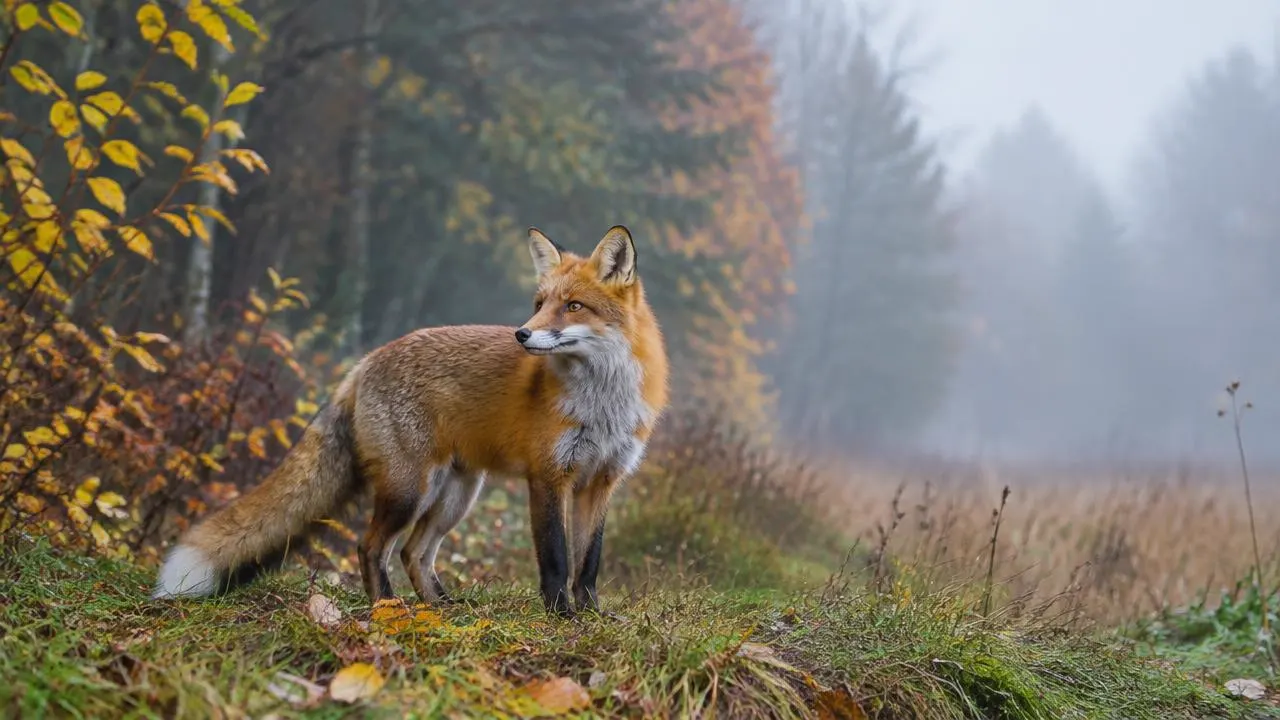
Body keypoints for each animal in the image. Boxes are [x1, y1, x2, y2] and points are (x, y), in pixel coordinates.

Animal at [153, 225, 669, 616]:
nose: (522, 334)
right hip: (409, 490)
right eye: (539, 303)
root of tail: (365, 361)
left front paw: (592, 614)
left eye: (573, 306)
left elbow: (589, 562)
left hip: (455, 495)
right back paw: (389, 608)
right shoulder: (548, 476)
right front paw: (561, 616)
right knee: (372, 547)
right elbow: (557, 559)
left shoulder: (600, 480)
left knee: (413, 553)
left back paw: (443, 608)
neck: (603, 401)